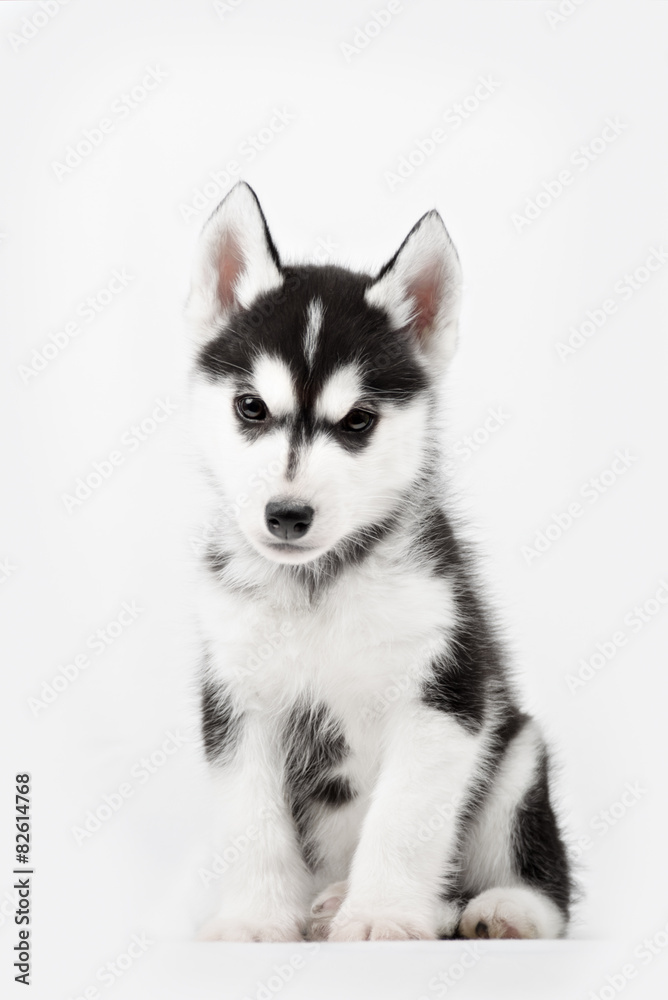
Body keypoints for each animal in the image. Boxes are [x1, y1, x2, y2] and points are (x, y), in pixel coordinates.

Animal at [185, 184, 572, 940]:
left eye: (358, 421)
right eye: (251, 407)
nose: (287, 515)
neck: (319, 586)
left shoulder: (445, 696)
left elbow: (404, 821)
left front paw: (382, 914)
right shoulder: (238, 702)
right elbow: (251, 821)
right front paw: (255, 920)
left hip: (518, 753)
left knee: (538, 878)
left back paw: (501, 908)